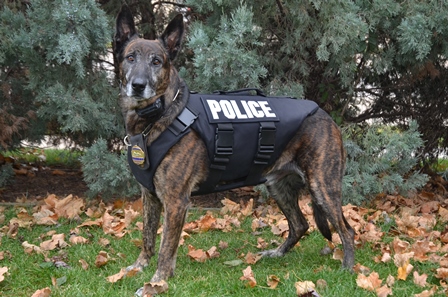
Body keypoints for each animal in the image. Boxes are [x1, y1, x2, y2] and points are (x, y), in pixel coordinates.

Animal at [114, 4, 356, 294]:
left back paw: (348, 268)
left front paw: (157, 282)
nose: (138, 85)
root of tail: (325, 115)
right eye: (130, 58)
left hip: (322, 185)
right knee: (300, 224)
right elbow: (148, 237)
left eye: (156, 62)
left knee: (346, 230)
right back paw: (277, 253)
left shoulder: (175, 202)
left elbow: (165, 248)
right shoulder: (150, 196)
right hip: (278, 185)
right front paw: (138, 267)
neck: (159, 115)